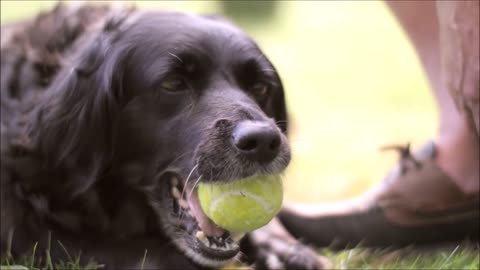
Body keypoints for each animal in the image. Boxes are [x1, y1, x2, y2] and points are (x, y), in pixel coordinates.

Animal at [0, 4, 326, 270]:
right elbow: (143, 252)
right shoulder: (26, 228)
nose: (262, 142)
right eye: (173, 83)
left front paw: (282, 248)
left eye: (260, 86)